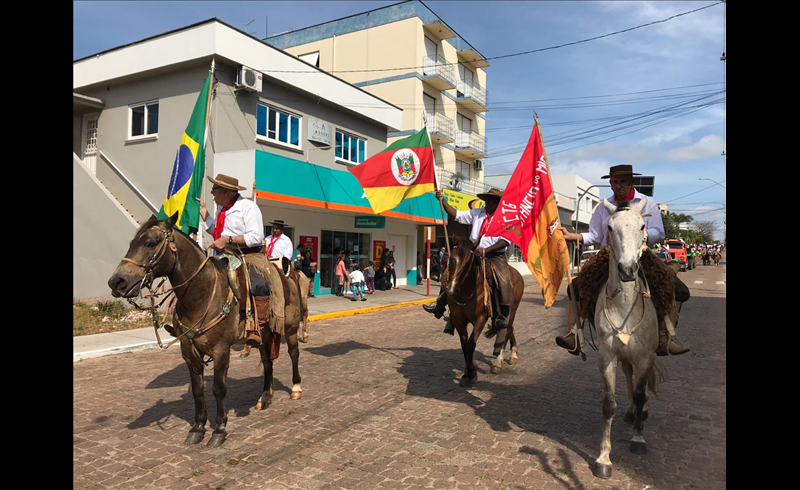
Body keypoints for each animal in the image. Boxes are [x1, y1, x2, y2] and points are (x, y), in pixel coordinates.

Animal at [106, 213, 306, 448]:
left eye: (152, 243)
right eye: (131, 243)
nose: (116, 282)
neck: (202, 294)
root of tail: (286, 273)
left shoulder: (221, 351)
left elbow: (218, 389)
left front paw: (219, 429)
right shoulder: (189, 352)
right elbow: (197, 390)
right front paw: (198, 428)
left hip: (290, 327)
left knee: (293, 354)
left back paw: (296, 389)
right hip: (264, 334)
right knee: (267, 361)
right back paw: (265, 397)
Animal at [444, 234, 524, 386]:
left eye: (468, 263)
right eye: (451, 258)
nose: (451, 290)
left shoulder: (480, 318)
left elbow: (471, 344)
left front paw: (471, 374)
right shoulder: (458, 320)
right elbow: (464, 346)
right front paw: (467, 371)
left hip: (513, 309)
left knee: (506, 330)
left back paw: (500, 362)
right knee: (509, 328)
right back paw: (513, 354)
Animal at [592, 198, 664, 478]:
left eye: (642, 226)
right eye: (610, 228)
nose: (627, 269)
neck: (624, 308)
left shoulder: (646, 357)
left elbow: (642, 394)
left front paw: (638, 439)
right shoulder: (608, 358)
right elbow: (609, 404)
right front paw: (603, 458)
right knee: (629, 377)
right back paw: (632, 411)